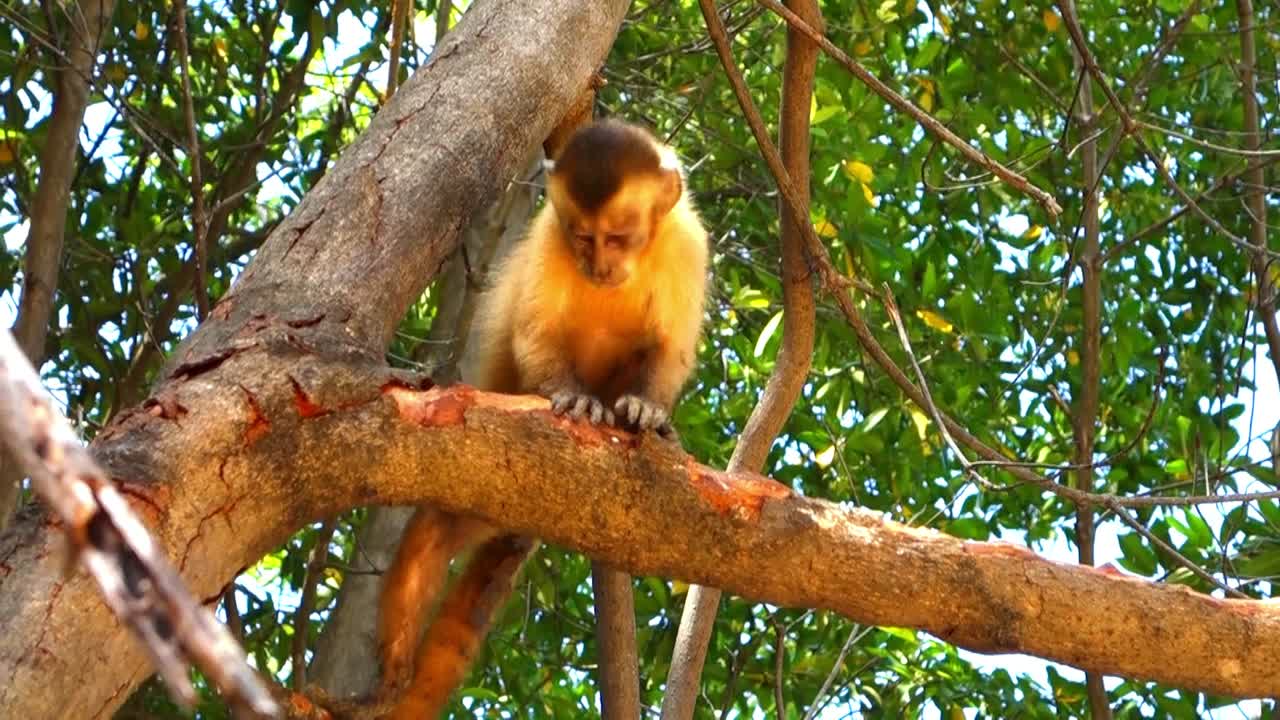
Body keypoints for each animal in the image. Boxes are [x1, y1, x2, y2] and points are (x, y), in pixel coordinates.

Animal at [376, 119, 710, 719]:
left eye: (619, 237)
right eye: (583, 237)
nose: (599, 266)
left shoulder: (686, 243)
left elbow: (669, 348)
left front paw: (648, 410)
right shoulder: (549, 237)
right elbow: (535, 338)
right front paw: (573, 400)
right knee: (443, 523)